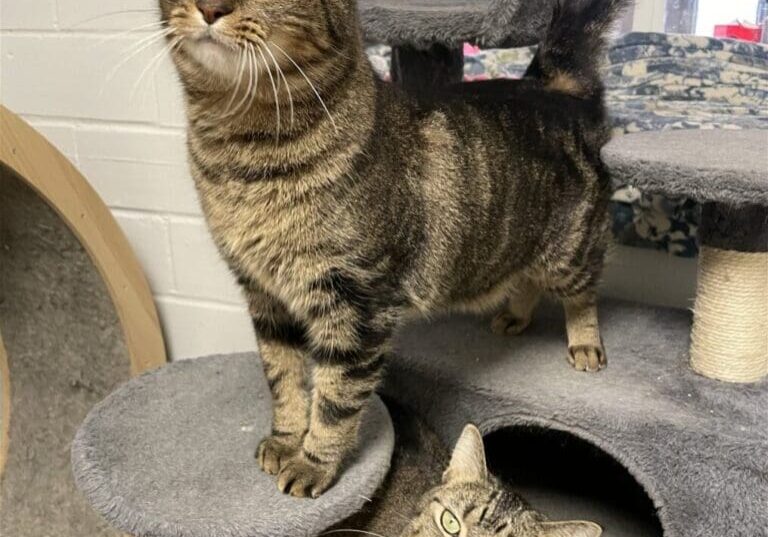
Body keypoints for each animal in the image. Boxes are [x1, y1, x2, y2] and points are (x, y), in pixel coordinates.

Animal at [160, 0, 632, 496]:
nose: (210, 8)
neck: (242, 151)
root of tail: (552, 87)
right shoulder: (264, 295)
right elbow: (284, 377)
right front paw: (286, 439)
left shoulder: (356, 304)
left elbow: (334, 398)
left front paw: (312, 462)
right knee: (524, 280)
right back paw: (514, 317)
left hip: (570, 249)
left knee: (582, 293)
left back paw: (584, 343)